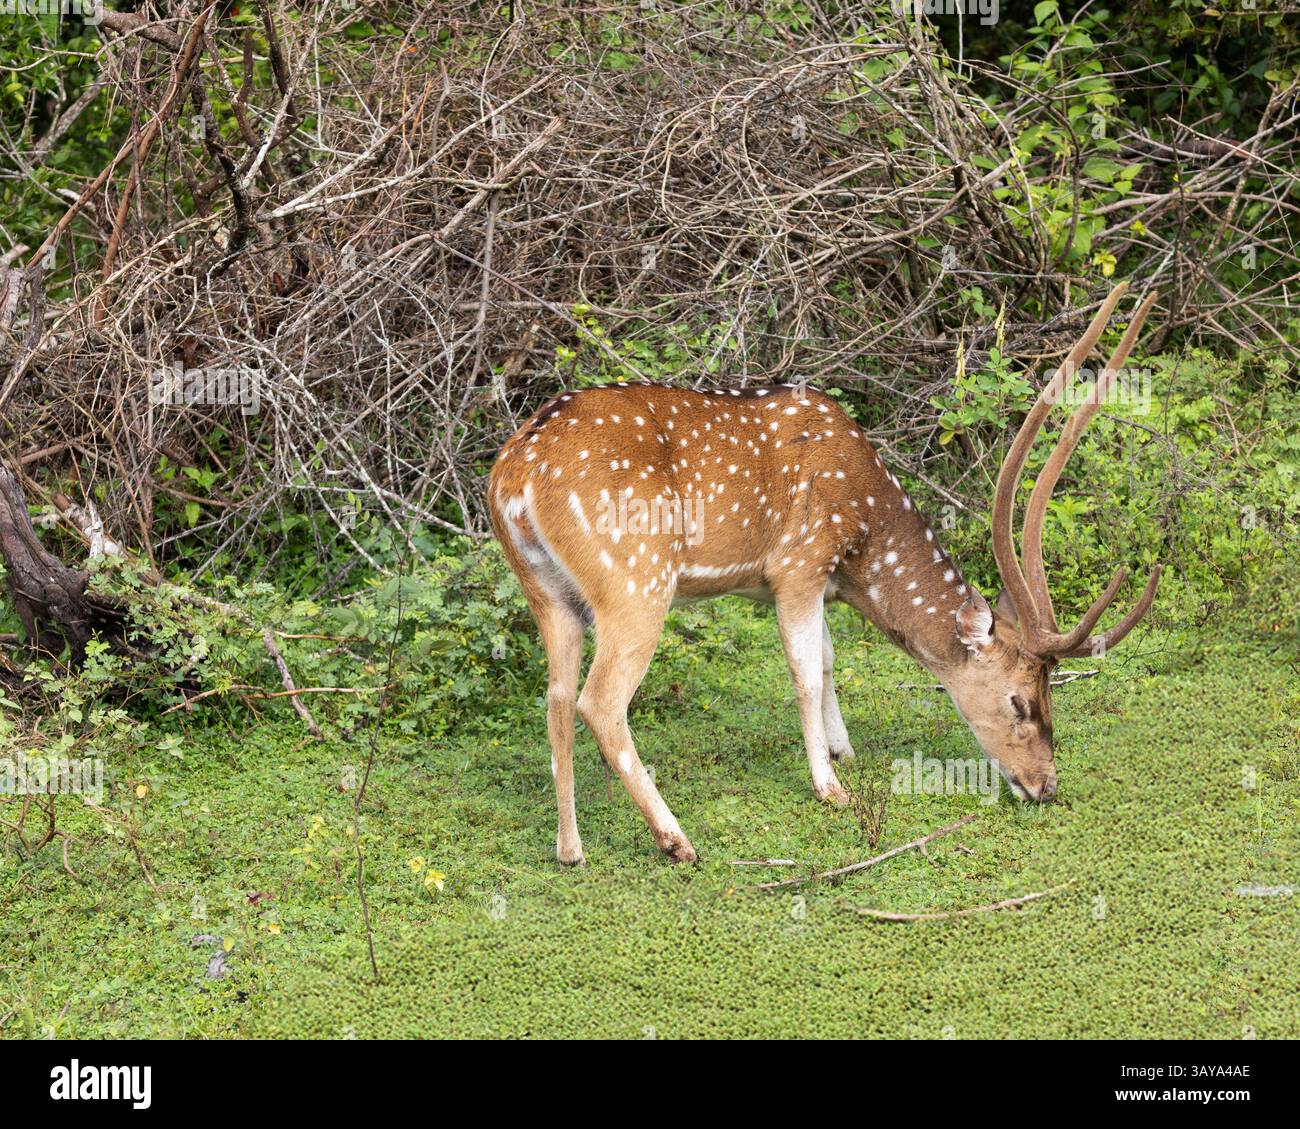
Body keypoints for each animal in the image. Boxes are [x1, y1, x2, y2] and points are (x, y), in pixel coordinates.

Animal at [488, 282, 1161, 864]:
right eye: (1020, 702)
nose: (1045, 786)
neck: (862, 534)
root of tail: (512, 479)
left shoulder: (802, 582)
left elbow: (830, 657)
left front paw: (844, 749)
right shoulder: (798, 564)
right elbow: (805, 673)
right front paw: (830, 786)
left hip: (547, 592)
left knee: (555, 698)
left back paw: (570, 849)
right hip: (635, 582)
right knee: (599, 701)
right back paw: (676, 840)